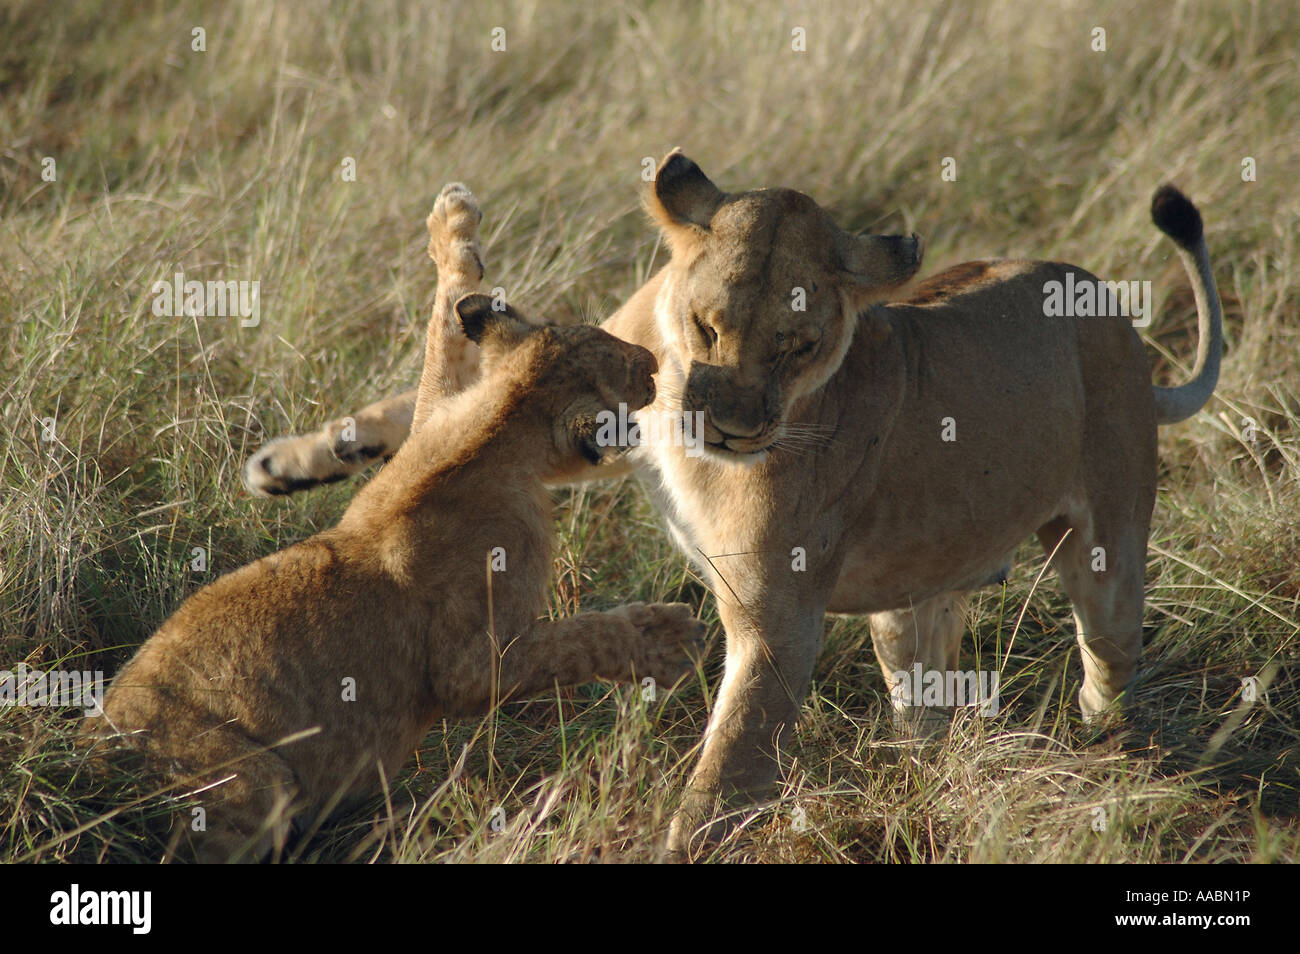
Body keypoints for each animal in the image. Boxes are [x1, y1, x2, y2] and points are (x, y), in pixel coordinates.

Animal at [85, 184, 705, 862]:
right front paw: (667, 638)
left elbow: (444, 335)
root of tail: (89, 759)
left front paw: (453, 226)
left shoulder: (438, 411)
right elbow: (572, 643)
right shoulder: (467, 663)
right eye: (633, 372)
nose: (653, 357)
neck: (499, 423)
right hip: (249, 779)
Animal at [242, 154, 1222, 858]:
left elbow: (728, 765)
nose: (729, 426)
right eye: (709, 324)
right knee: (927, 705)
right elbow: (422, 413)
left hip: (1108, 564)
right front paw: (289, 463)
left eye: (800, 345)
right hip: (909, 616)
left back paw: (1102, 742)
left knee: (1108, 658)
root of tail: (1119, 322)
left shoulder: (776, 621)